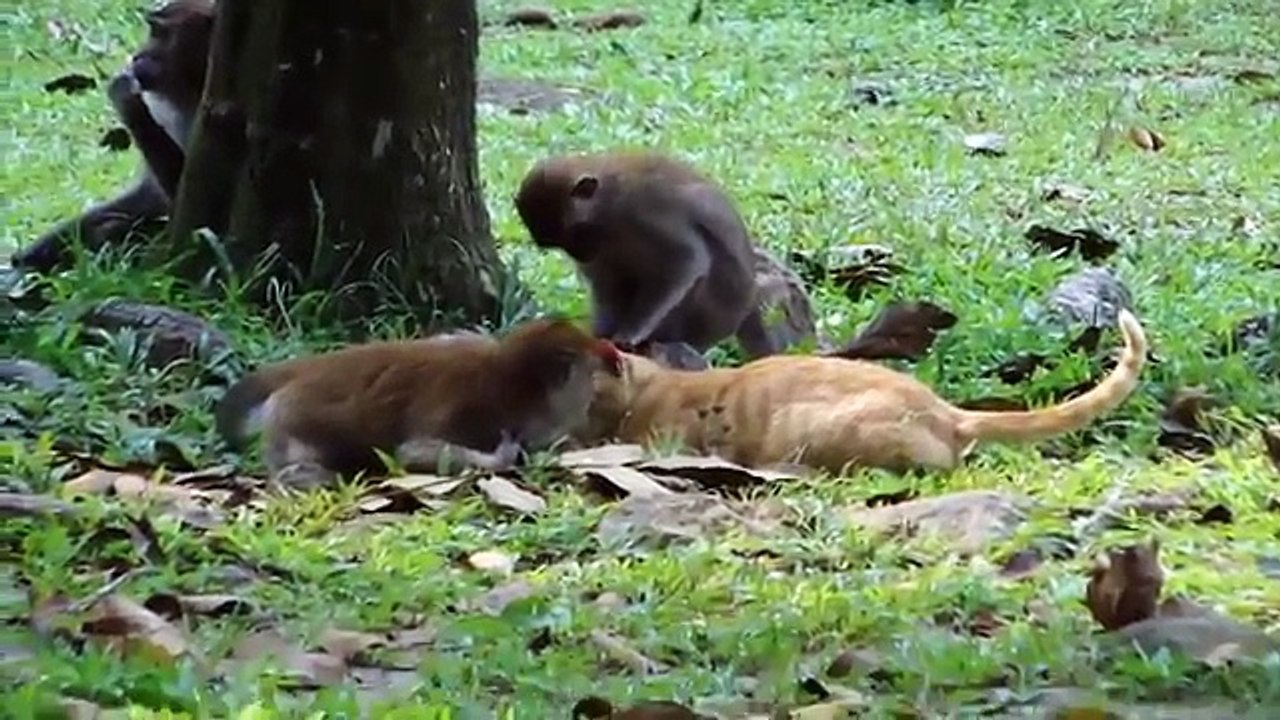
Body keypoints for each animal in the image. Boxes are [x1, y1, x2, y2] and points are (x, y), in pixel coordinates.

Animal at [12, 1, 215, 273]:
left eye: (160, 34)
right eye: (152, 31)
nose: (137, 56)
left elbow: (188, 204)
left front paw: (126, 98)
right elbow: (148, 195)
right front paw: (36, 251)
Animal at [215, 318, 622, 486]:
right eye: (589, 381)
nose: (589, 403)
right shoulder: (479, 410)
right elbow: (412, 451)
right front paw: (504, 458)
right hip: (292, 416)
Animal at [515, 151, 775, 359]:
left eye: (577, 232)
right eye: (561, 245)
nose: (580, 254)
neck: (607, 203)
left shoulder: (644, 210)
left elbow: (686, 259)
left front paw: (630, 333)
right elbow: (608, 283)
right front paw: (601, 335)